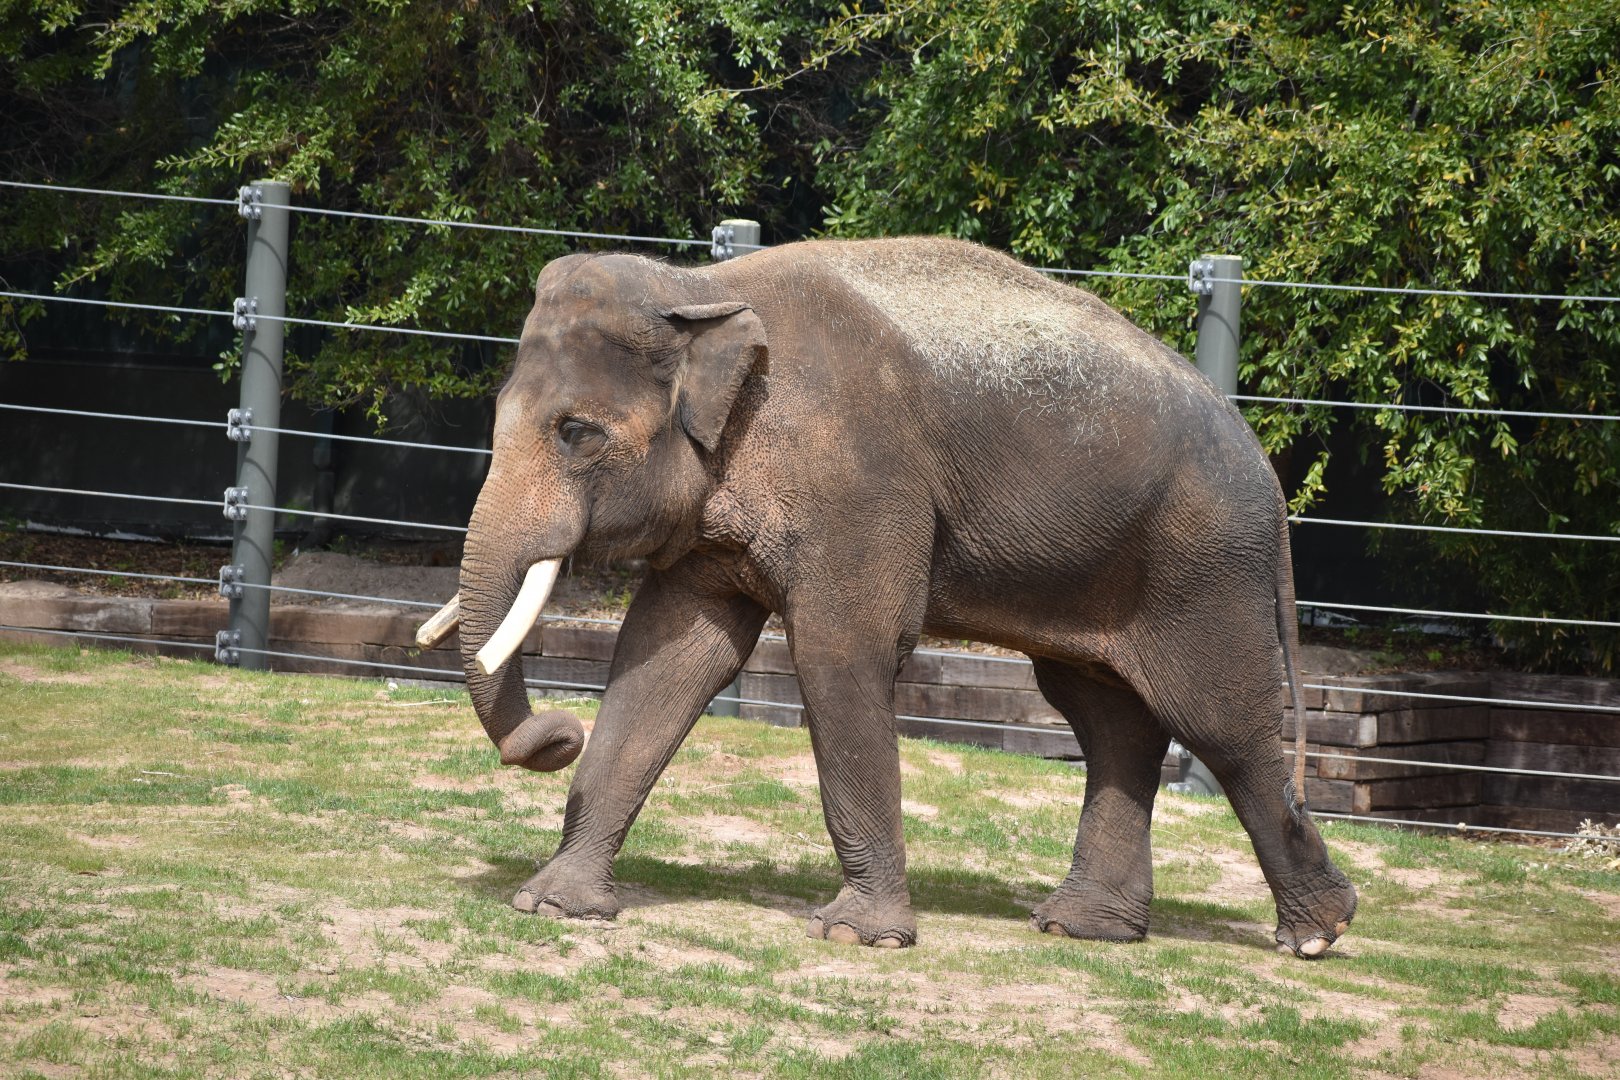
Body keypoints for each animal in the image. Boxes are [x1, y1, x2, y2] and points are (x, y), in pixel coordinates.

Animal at [423, 236, 1357, 956]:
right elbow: (670, 657)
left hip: (1203, 567)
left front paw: (858, 936)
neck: (698, 288)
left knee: (1219, 724)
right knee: (1106, 716)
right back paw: (1082, 928)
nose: (559, 732)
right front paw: (552, 904)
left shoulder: (861, 481)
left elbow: (842, 652)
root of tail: (1264, 466)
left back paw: (1318, 931)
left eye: (575, 433)